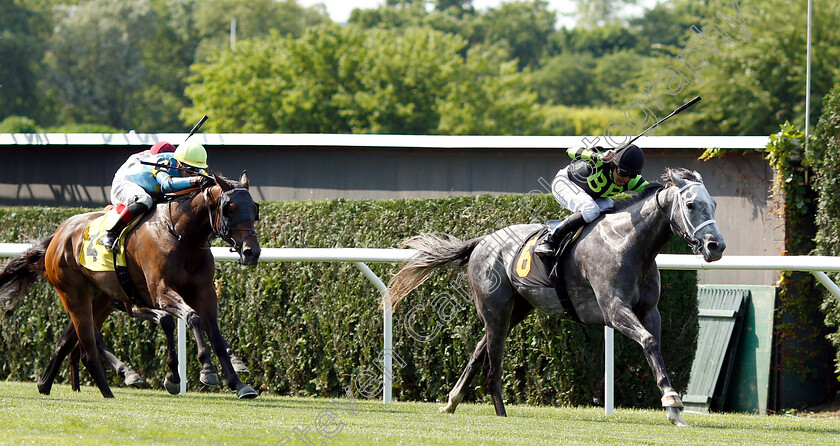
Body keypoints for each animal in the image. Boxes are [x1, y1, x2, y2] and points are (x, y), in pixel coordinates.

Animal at [0, 171, 260, 398]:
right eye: (229, 209)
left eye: (255, 209)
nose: (252, 252)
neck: (181, 234)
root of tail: (59, 233)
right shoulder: (160, 292)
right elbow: (190, 318)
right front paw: (203, 370)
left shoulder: (204, 292)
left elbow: (214, 333)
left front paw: (238, 382)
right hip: (73, 292)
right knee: (87, 340)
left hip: (100, 299)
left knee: (68, 341)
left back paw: (46, 384)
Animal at [386, 169, 720, 426]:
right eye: (691, 204)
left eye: (714, 204)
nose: (716, 246)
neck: (628, 243)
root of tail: (483, 240)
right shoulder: (613, 309)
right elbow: (649, 341)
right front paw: (671, 402)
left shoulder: (650, 310)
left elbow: (655, 345)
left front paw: (674, 408)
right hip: (496, 309)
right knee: (492, 364)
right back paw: (500, 413)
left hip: (516, 310)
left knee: (479, 350)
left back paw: (452, 401)